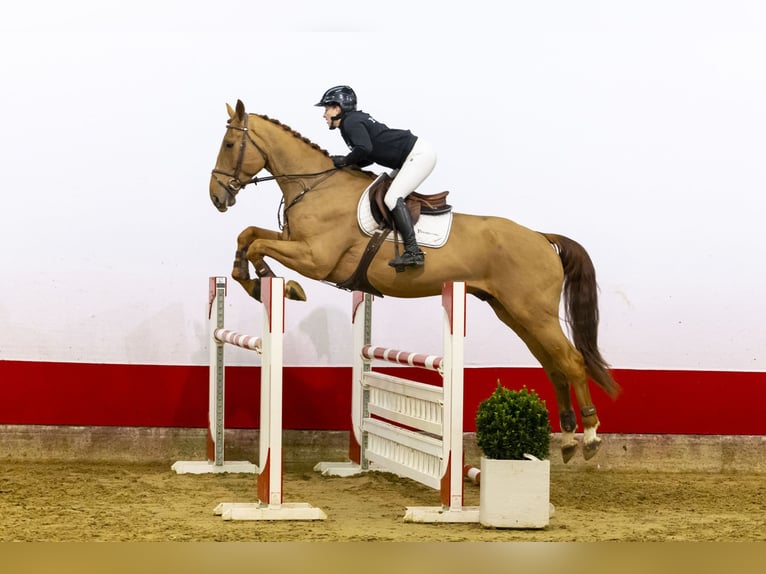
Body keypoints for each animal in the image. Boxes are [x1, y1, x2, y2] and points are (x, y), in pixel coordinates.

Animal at [212, 99, 624, 464]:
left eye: (229, 144)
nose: (216, 197)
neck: (316, 187)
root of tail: (541, 237)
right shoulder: (295, 244)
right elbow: (249, 235)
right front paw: (251, 280)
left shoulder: (315, 258)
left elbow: (258, 245)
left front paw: (276, 284)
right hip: (514, 314)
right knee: (554, 366)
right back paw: (568, 440)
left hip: (533, 313)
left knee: (571, 361)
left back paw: (590, 437)